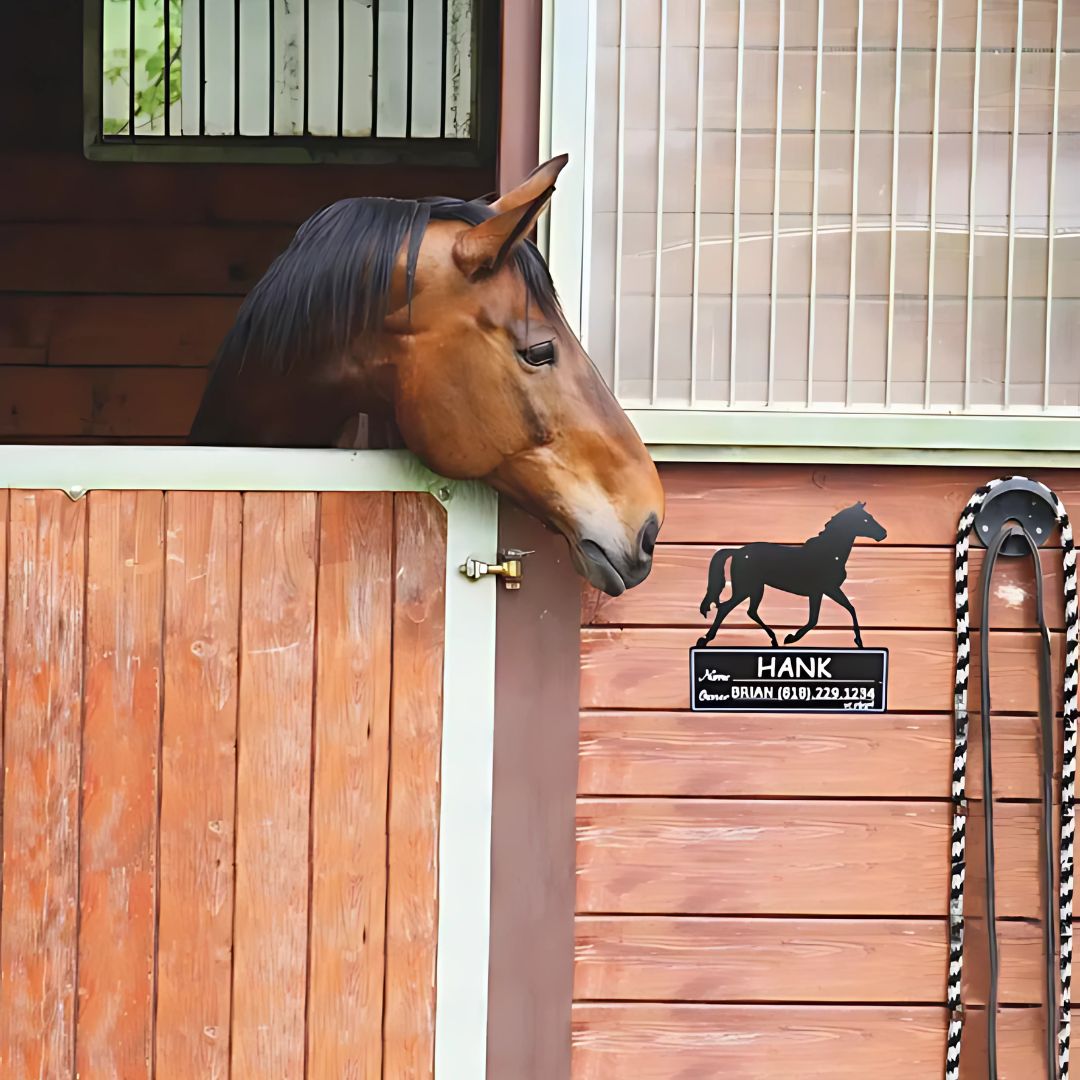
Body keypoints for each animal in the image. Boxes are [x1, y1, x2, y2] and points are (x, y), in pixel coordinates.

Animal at [697, 502, 888, 648]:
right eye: (866, 519)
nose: (883, 534)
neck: (828, 553)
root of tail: (737, 551)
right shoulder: (821, 591)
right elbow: (814, 620)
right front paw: (791, 638)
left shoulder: (827, 590)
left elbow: (849, 608)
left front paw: (859, 642)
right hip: (747, 588)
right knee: (726, 608)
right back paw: (705, 639)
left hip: (755, 588)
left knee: (750, 611)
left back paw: (773, 639)